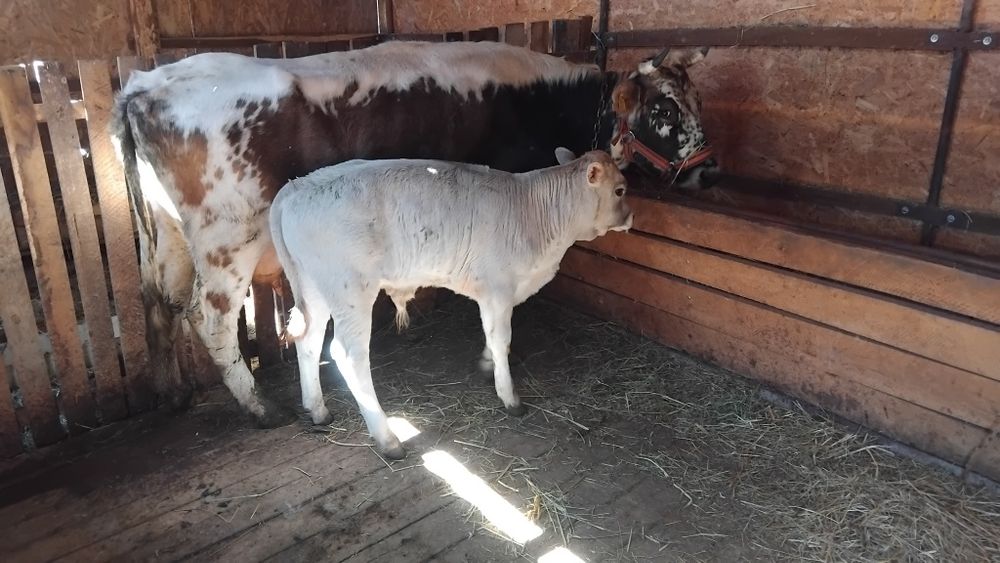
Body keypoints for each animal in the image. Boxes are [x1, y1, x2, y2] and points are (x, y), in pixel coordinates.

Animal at [271, 149, 632, 458]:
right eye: (620, 190)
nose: (631, 217)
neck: (534, 210)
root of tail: (296, 187)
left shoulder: (494, 295)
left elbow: (492, 335)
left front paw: (487, 365)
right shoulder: (498, 288)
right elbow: (502, 339)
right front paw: (509, 396)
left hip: (314, 287)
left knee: (309, 341)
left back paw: (318, 409)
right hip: (350, 291)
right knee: (348, 355)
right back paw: (387, 438)